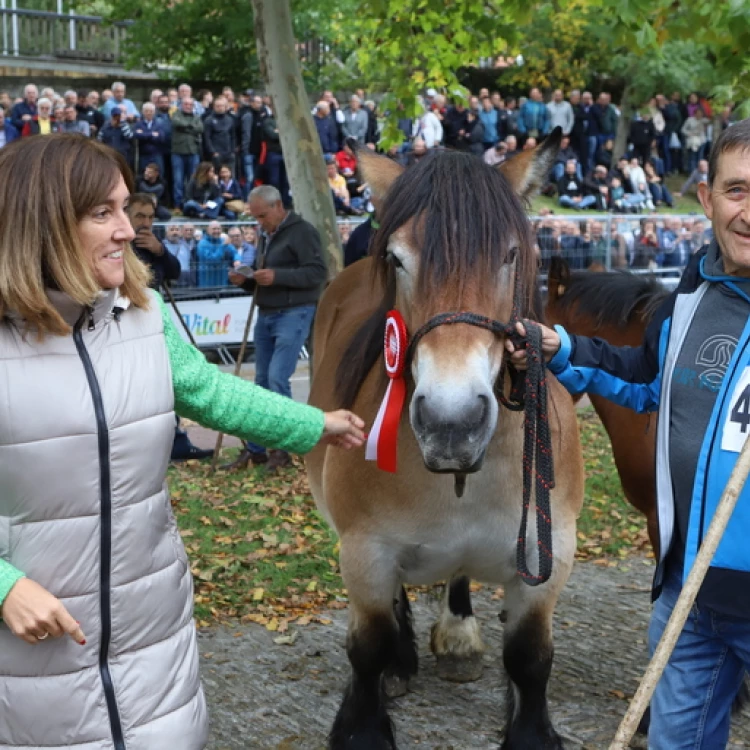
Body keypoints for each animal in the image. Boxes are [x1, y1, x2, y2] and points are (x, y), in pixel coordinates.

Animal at [306, 137, 588, 750]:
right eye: (397, 259)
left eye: (511, 255)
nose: (451, 422)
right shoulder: (364, 550)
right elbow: (368, 646)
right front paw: (366, 719)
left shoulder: (549, 555)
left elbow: (530, 657)